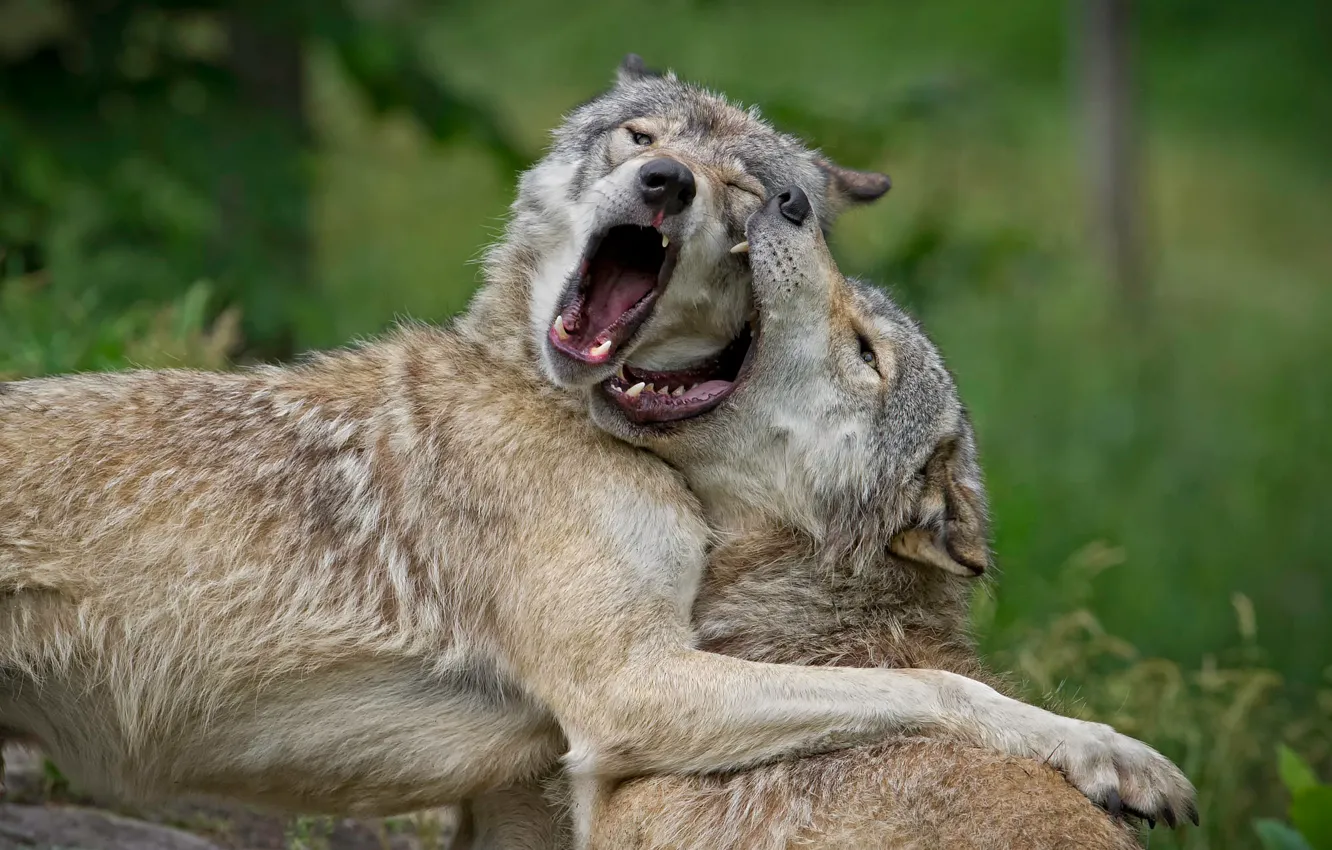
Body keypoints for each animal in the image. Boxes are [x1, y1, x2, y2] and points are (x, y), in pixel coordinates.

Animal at [0, 56, 1188, 839]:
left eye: (761, 189)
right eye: (644, 139)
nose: (673, 186)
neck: (547, 403)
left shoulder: (549, 767)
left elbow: (935, 687)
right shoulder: (630, 690)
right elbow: (941, 691)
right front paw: (1115, 755)